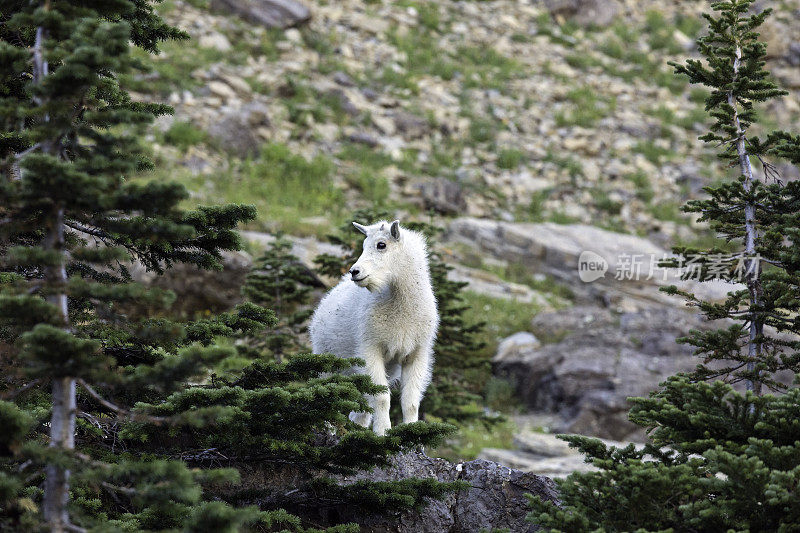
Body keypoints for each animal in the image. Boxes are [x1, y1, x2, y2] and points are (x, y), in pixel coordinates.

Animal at [310, 219, 438, 432]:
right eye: (363, 245)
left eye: (381, 245)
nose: (354, 272)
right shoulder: (370, 348)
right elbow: (381, 398)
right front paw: (382, 433)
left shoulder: (417, 353)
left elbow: (410, 402)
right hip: (327, 358)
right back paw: (328, 429)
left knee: (360, 406)